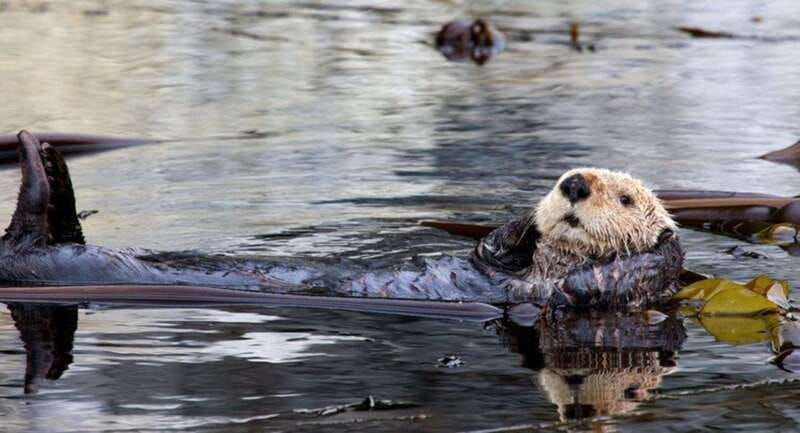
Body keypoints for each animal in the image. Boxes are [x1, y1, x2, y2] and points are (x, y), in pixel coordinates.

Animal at [0, 131, 682, 308]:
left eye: (625, 198)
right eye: (561, 174)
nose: (574, 184)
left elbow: (594, 288)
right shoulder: (495, 263)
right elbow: (488, 250)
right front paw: (519, 224)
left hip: (43, 258)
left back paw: (41, 160)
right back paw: (46, 153)